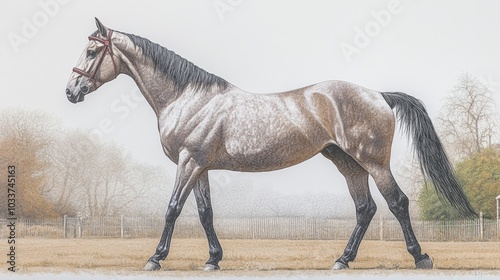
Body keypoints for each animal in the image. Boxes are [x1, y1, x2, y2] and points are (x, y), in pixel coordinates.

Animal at [64, 18, 474, 272]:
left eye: (91, 52)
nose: (71, 91)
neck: (187, 98)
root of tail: (379, 95)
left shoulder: (189, 162)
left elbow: (172, 209)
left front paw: (156, 258)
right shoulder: (200, 166)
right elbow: (204, 213)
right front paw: (213, 259)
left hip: (373, 162)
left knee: (397, 203)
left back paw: (420, 258)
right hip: (346, 162)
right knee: (365, 209)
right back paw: (342, 260)